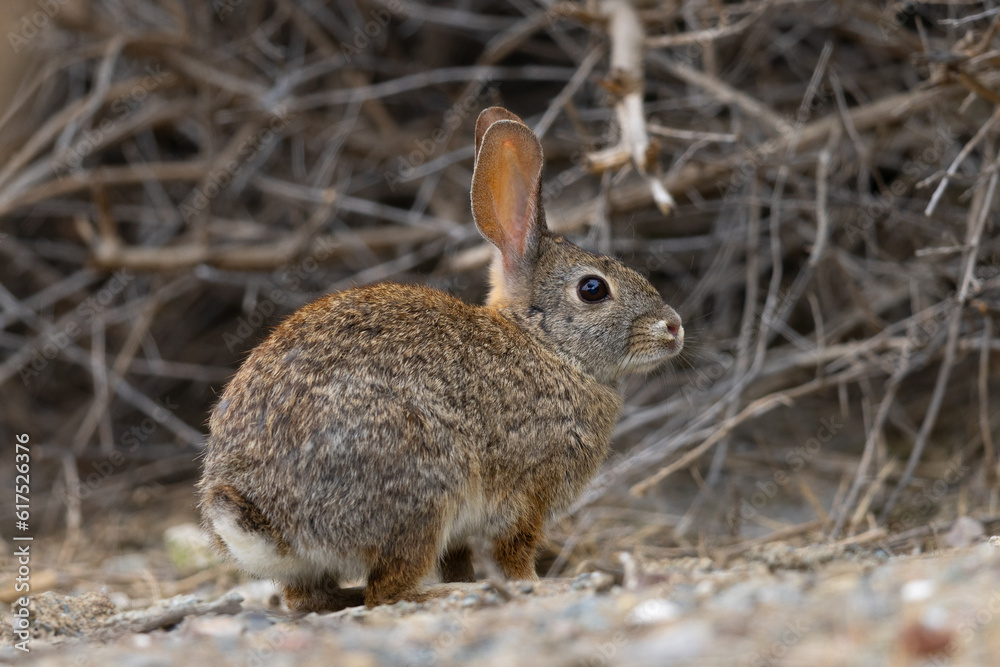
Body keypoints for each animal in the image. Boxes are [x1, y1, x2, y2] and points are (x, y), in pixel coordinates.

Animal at [198, 106, 684, 612]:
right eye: (593, 289)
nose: (674, 327)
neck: (544, 345)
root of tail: (271, 521)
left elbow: (460, 557)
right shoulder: (525, 495)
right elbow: (513, 549)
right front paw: (531, 583)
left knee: (311, 598)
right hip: (425, 487)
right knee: (387, 591)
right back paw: (446, 593)